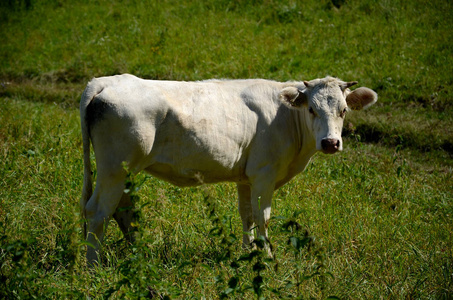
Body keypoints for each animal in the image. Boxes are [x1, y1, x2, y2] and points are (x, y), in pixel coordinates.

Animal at [79, 74, 376, 262]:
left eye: (344, 110)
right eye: (312, 109)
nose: (330, 142)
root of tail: (103, 81)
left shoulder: (246, 178)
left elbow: (247, 215)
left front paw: (248, 252)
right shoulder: (264, 174)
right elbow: (263, 216)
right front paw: (267, 255)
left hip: (124, 171)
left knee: (120, 209)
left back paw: (134, 252)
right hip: (114, 169)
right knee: (98, 212)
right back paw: (94, 266)